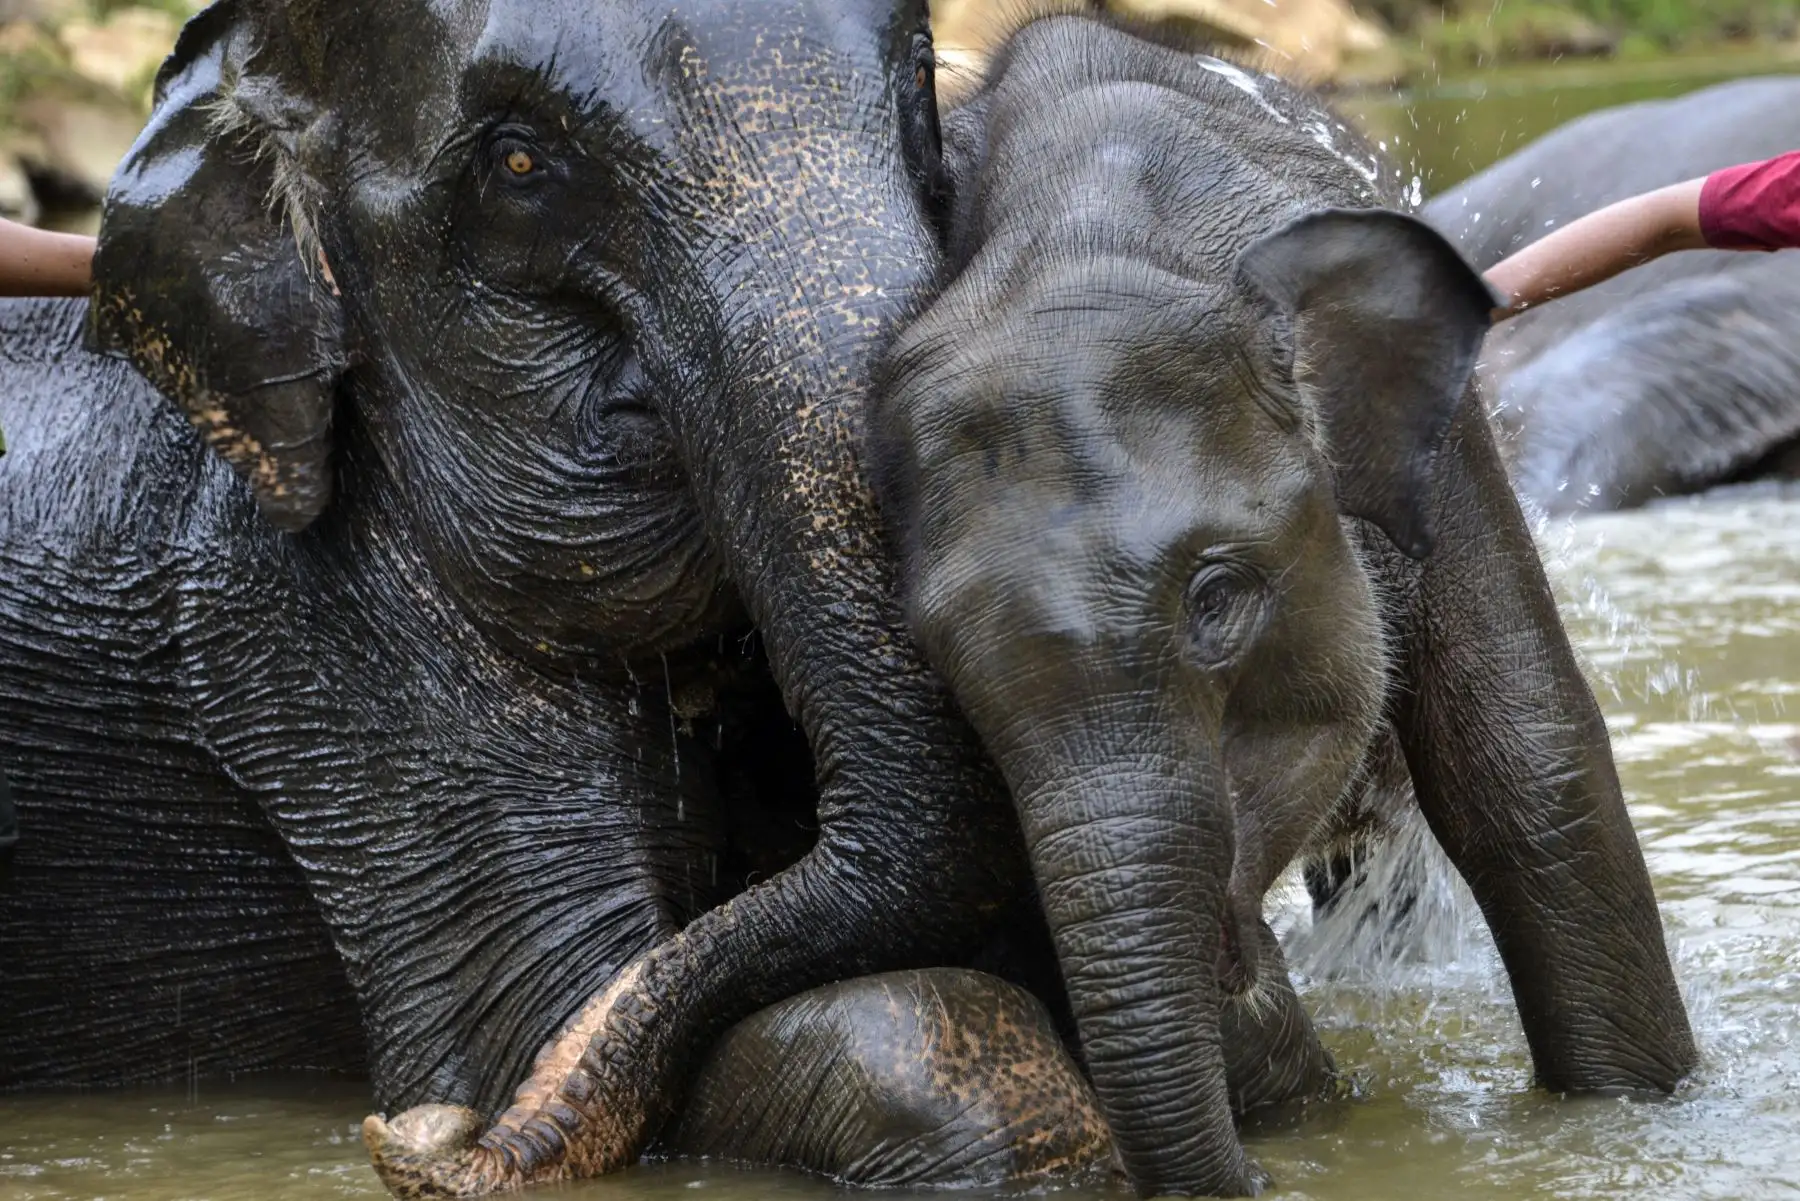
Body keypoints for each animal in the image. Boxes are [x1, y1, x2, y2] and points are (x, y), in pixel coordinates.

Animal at [865, 14, 1698, 1196]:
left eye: (1217, 599)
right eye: (938, 656)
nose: (1265, 1171)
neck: (1088, 231)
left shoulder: (1444, 445)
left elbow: (1523, 760)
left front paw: (1633, 1120)